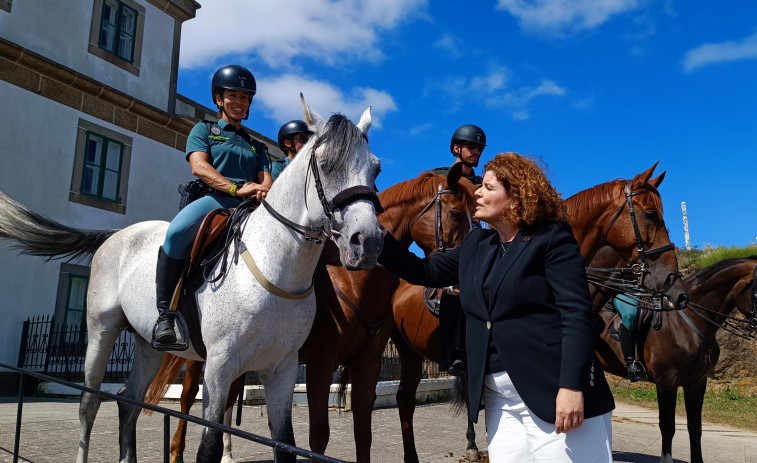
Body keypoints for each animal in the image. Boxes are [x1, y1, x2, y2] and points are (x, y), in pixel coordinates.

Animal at [1, 95, 384, 463]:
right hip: (101, 330)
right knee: (89, 402)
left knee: (128, 400)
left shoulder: (283, 369)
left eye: (376, 168)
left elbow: (286, 446)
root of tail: (117, 235)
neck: (274, 267)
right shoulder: (219, 367)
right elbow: (209, 447)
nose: (367, 242)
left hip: (147, 345)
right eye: (327, 164)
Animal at [142, 166, 476, 463]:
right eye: (456, 214)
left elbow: (363, 433)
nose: (464, 273)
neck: (351, 279)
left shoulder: (367, 363)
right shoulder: (321, 363)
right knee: (188, 397)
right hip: (203, 356)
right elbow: (319, 436)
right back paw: (176, 452)